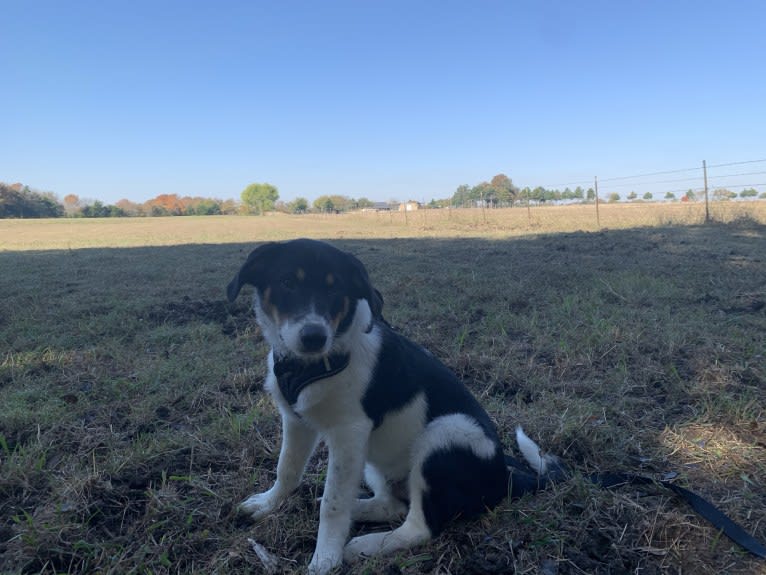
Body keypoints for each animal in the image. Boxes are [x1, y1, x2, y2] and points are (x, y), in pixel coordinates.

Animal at [228, 238, 564, 575]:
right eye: (287, 283)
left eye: (336, 291)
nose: (314, 337)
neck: (312, 365)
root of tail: (503, 476)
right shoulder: (296, 420)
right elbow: (287, 468)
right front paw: (269, 504)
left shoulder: (349, 433)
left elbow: (333, 503)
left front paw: (324, 558)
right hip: (374, 464)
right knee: (393, 506)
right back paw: (357, 511)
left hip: (446, 432)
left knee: (420, 527)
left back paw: (366, 545)